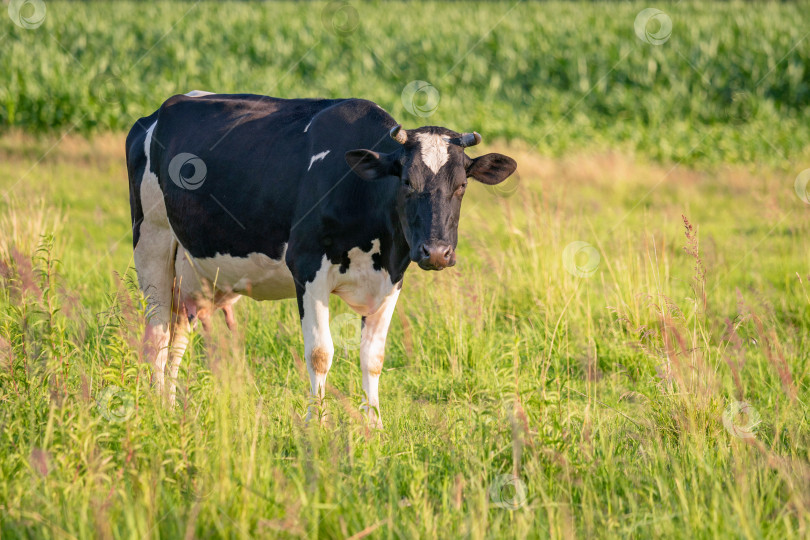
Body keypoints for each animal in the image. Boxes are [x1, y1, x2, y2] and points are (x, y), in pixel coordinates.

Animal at [126, 94, 516, 430]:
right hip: (153, 241)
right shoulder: (308, 268)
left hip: (193, 273)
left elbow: (373, 357)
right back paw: (156, 409)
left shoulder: (391, 278)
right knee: (158, 333)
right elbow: (319, 352)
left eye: (461, 185)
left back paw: (171, 406)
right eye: (406, 181)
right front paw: (317, 423)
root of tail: (157, 113)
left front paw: (375, 425)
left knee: (178, 337)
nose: (436, 252)